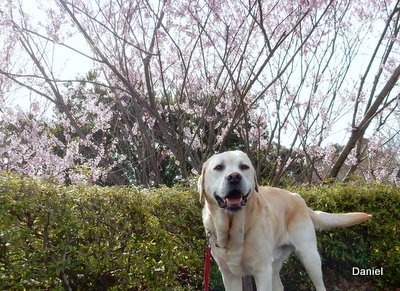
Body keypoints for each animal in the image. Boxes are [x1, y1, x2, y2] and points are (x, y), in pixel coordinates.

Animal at [198, 152, 370, 291]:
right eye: (219, 167)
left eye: (244, 167)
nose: (234, 176)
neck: (235, 229)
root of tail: (298, 197)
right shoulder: (229, 275)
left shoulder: (262, 271)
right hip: (275, 262)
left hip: (309, 256)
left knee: (320, 284)